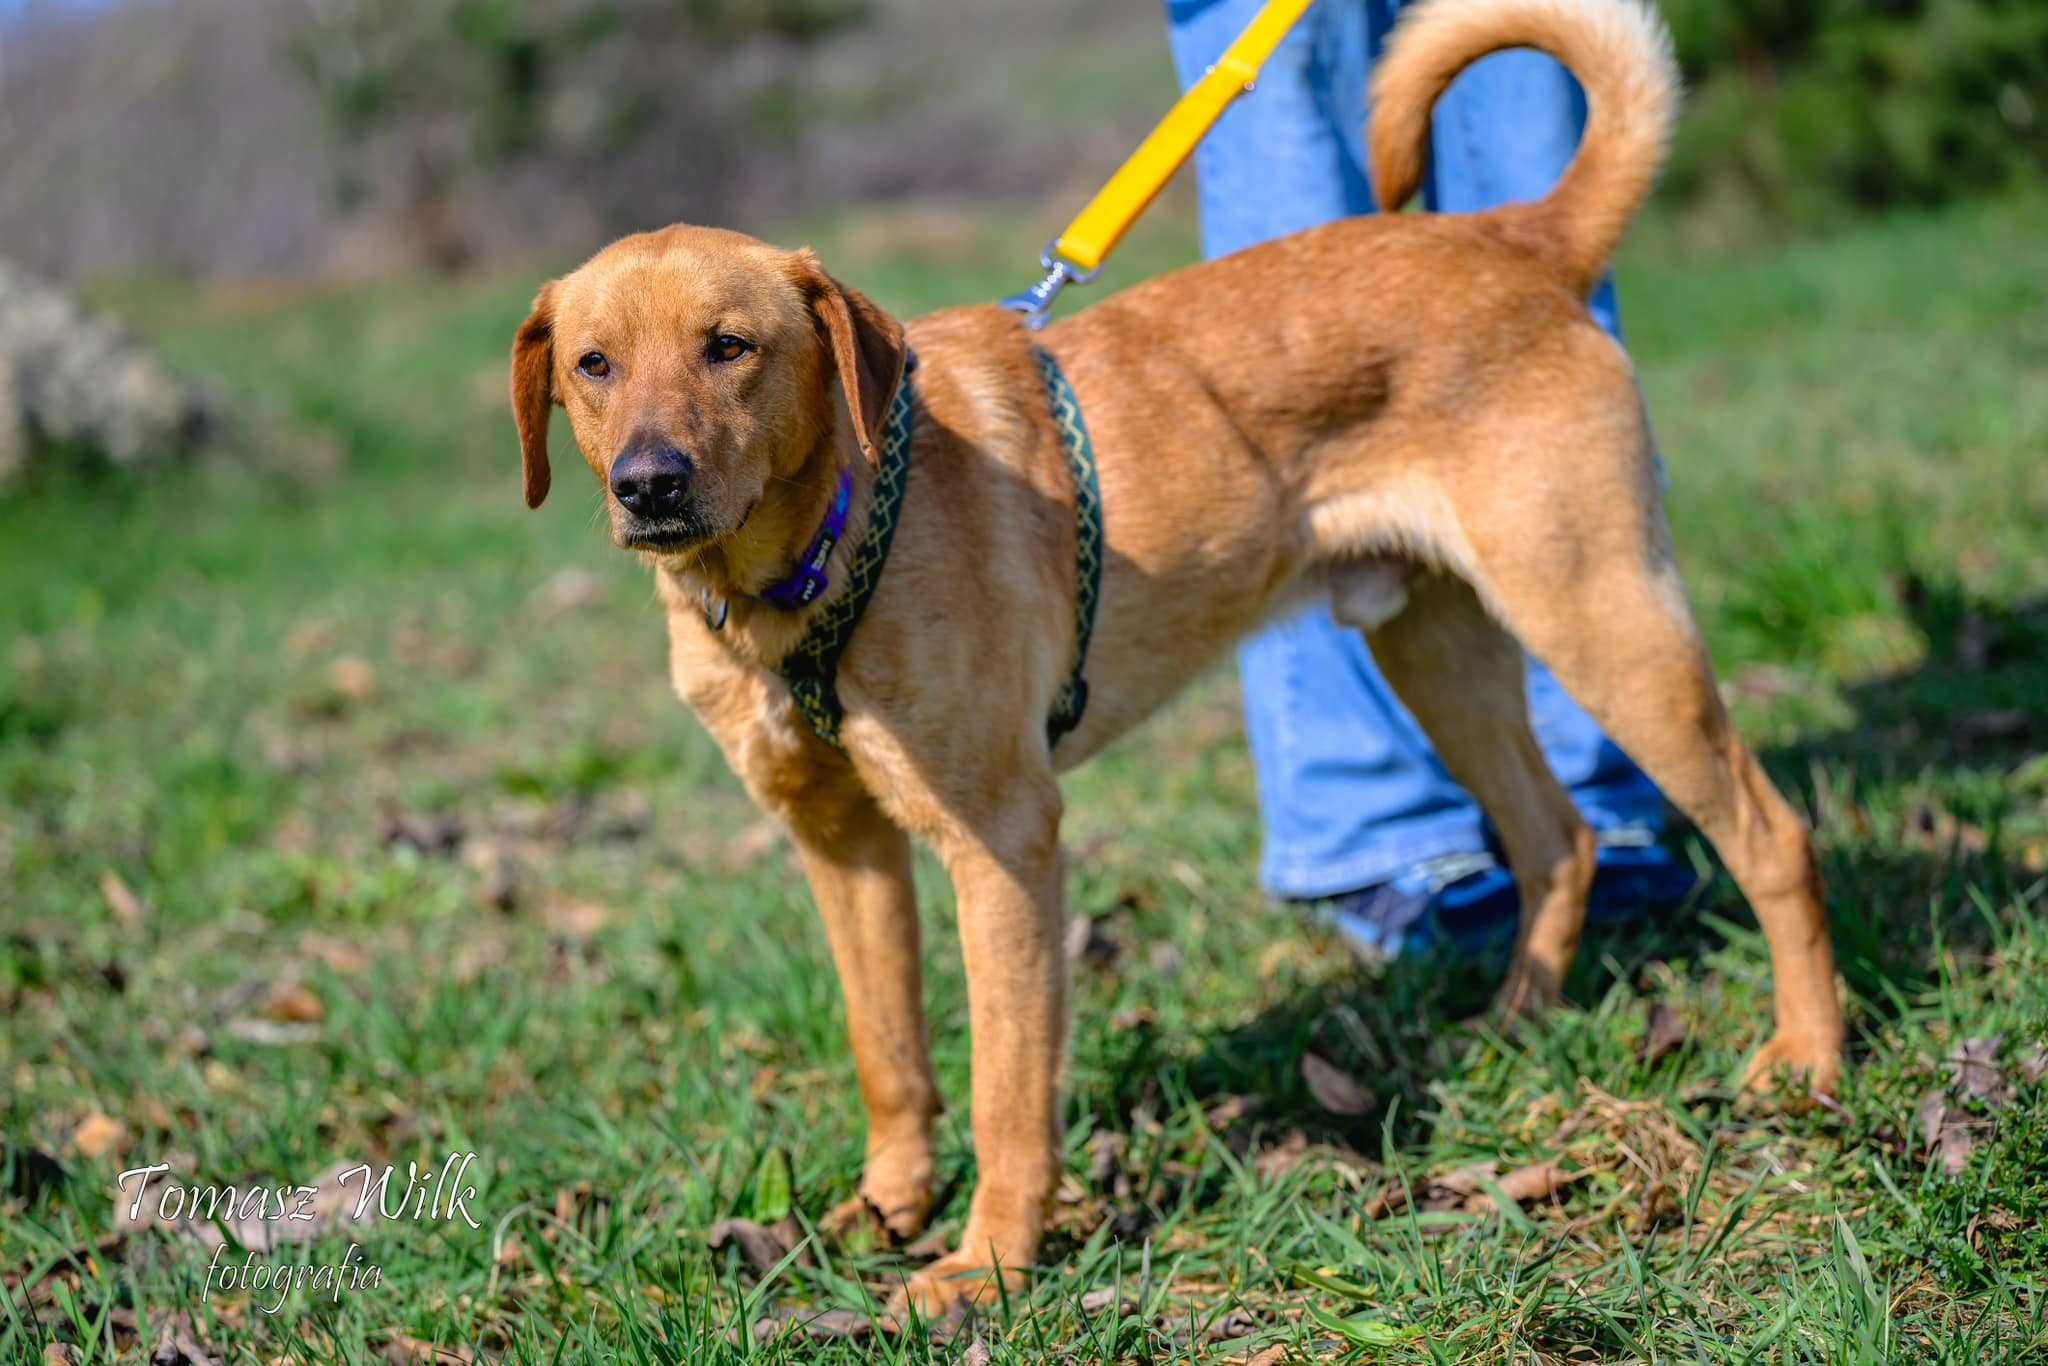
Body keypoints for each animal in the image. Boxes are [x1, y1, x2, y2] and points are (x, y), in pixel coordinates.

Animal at [507, 0, 1843, 1310]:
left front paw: (987, 1264)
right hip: (1431, 645)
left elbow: (1005, 1089)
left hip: (1597, 613)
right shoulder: (840, 844)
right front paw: (885, 1209)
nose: (648, 485)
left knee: (1768, 834)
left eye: (729, 346)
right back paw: (1512, 1025)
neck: (807, 566)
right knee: (1553, 834)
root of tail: (1515, 238)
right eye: (592, 365)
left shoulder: (1002, 842)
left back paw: (1806, 1061)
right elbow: (887, 1051)